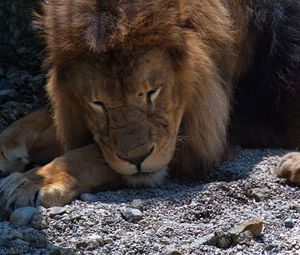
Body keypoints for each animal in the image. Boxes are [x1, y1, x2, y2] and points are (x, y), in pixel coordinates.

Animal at [0, 0, 300, 211]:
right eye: (98, 103)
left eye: (151, 93)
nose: (137, 160)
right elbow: (44, 120)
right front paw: (8, 146)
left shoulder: (207, 138)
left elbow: (90, 155)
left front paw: (35, 180)